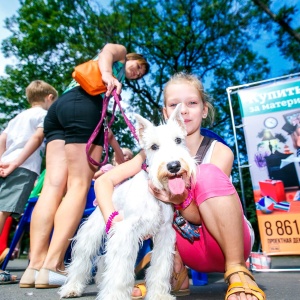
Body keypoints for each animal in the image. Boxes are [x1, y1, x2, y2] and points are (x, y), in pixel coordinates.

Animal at [58, 103, 197, 300]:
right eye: (154, 146)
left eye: (178, 140)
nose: (173, 166)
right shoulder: (125, 232)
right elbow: (119, 270)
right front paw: (115, 295)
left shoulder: (164, 234)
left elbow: (159, 268)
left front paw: (159, 294)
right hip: (94, 231)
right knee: (83, 259)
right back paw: (72, 287)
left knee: (103, 259)